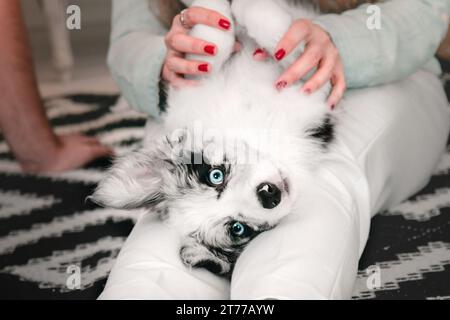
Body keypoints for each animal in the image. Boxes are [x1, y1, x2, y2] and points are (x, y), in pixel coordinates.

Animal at [93, 0, 336, 276]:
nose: (269, 194)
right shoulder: (314, 98)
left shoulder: (190, 88)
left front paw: (231, 9)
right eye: (238, 228)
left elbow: (217, 43)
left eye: (214, 175)